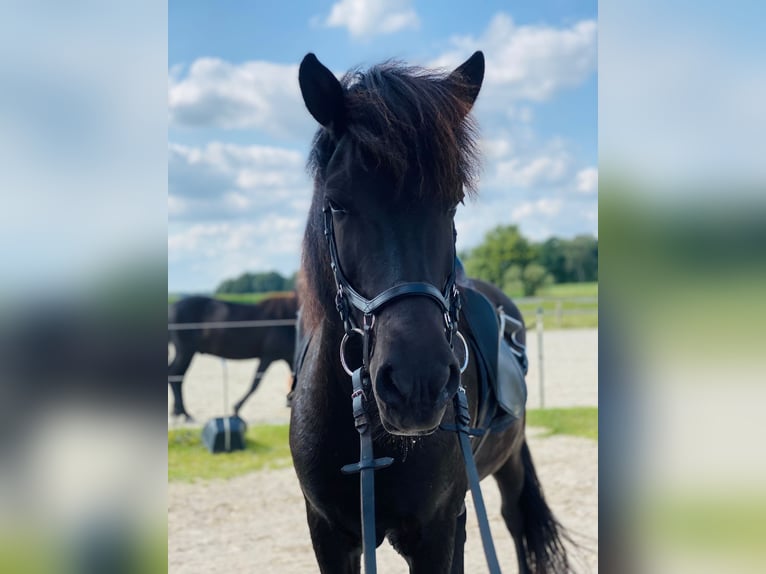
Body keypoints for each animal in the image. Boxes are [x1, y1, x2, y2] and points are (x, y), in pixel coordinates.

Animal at [168, 293, 298, 421]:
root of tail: (172, 307)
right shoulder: (268, 357)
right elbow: (255, 384)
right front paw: (236, 409)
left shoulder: (289, 358)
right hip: (185, 352)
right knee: (175, 374)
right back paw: (184, 413)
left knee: (177, 376)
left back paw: (178, 412)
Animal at [289, 52, 570, 573]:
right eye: (337, 203)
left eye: (453, 202)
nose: (416, 384)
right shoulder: (329, 534)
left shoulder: (434, 531)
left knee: (516, 522)